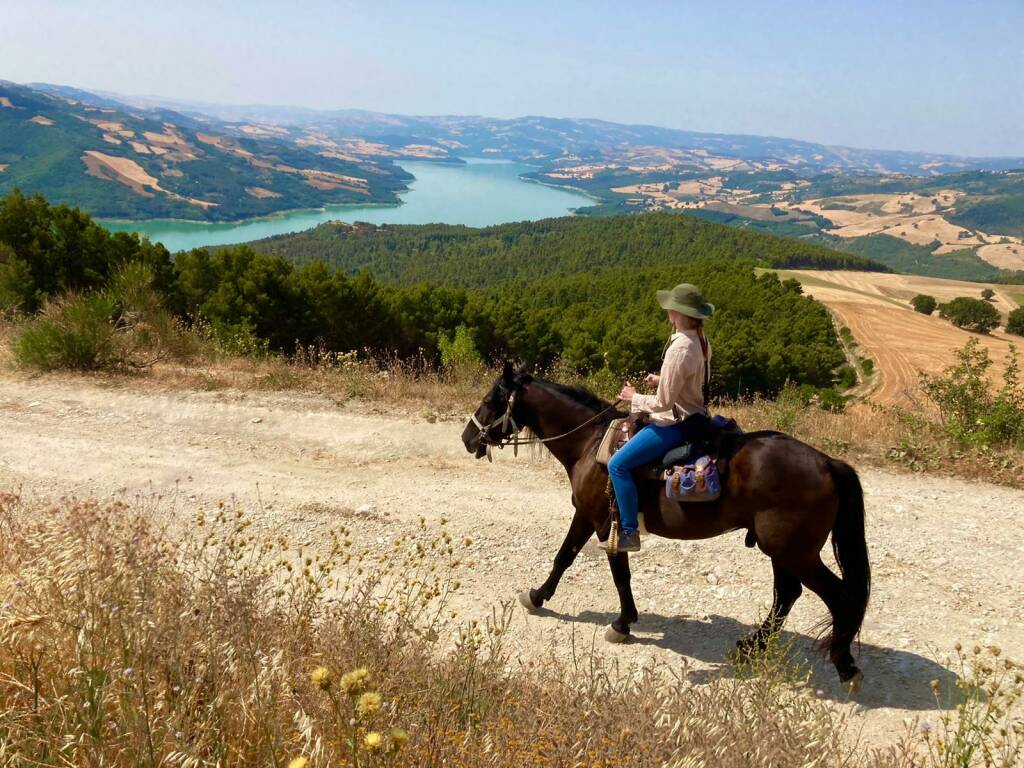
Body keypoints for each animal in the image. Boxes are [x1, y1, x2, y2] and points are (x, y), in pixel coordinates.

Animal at [464, 364, 872, 688]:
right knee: (787, 594)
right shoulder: (593, 518)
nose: (468, 437)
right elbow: (569, 559)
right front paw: (539, 596)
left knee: (836, 596)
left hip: (794, 551)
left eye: (490, 399)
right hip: (781, 550)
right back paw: (752, 647)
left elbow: (607, 570)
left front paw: (620, 622)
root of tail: (827, 463)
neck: (589, 444)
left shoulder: (600, 520)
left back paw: (844, 664)